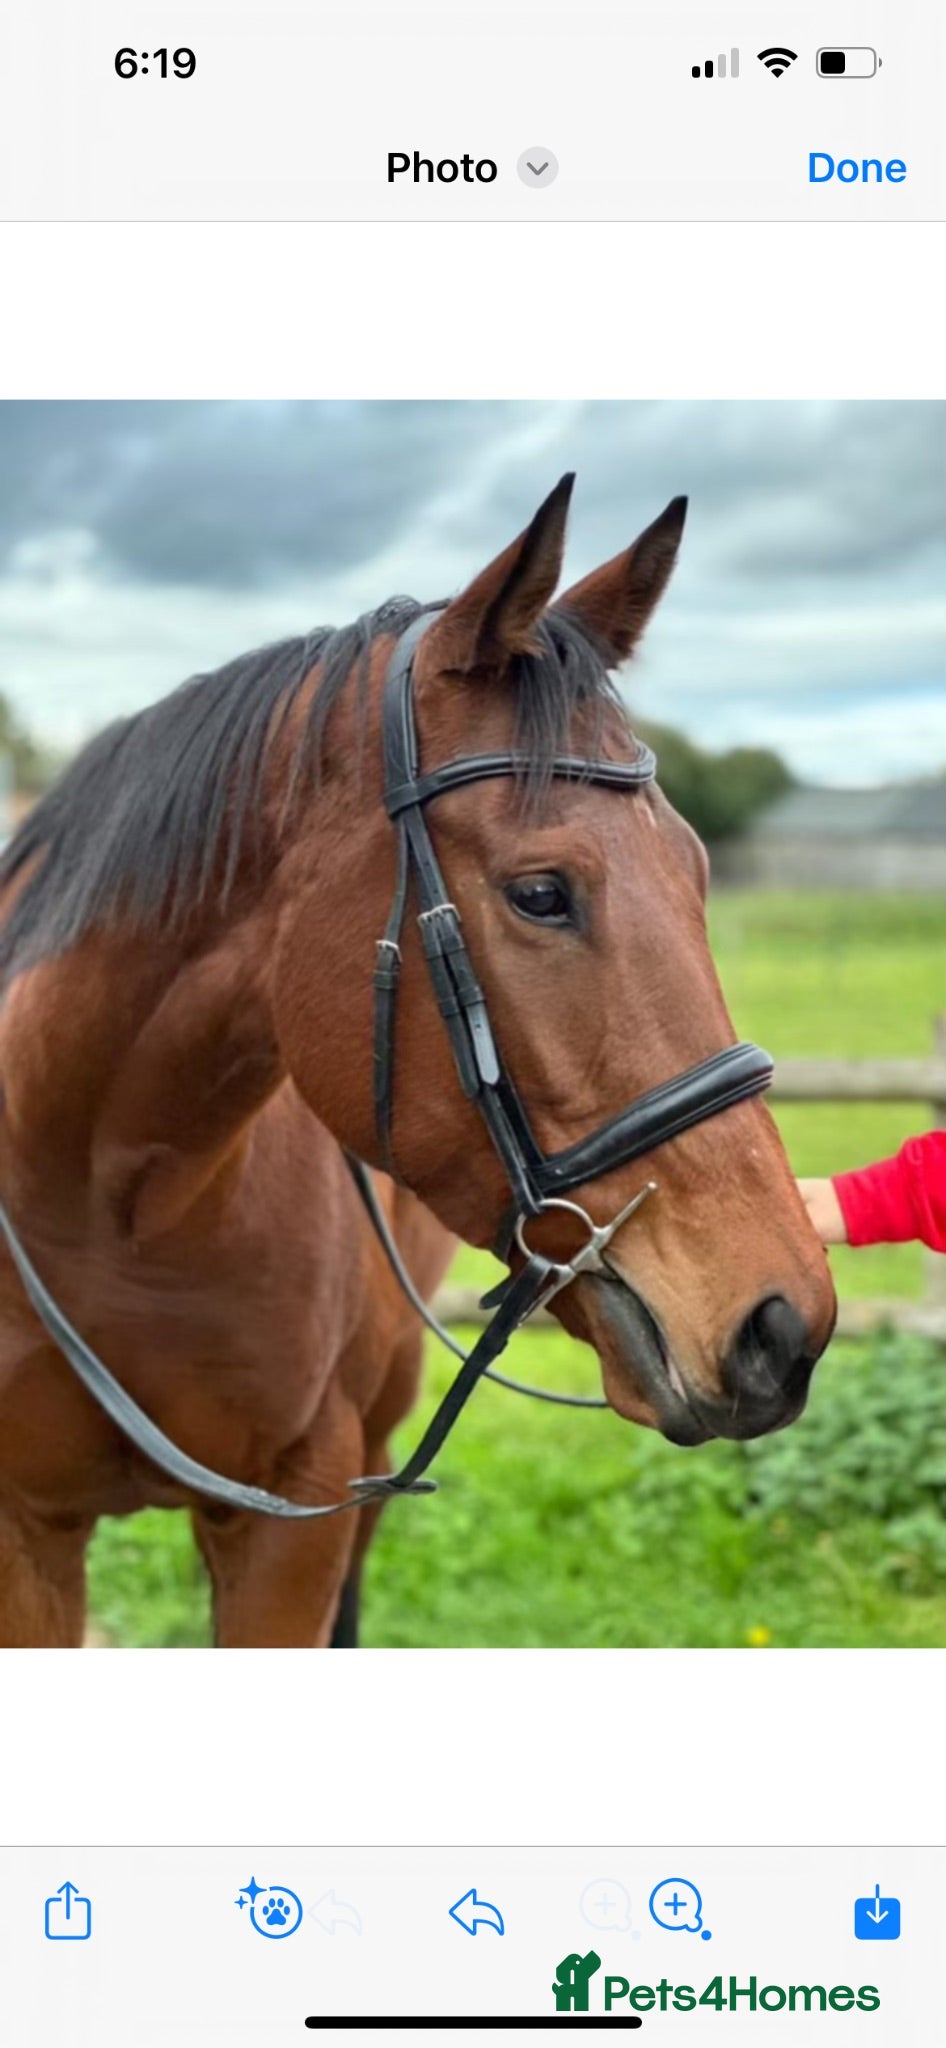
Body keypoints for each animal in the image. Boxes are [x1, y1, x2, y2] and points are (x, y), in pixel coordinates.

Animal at [0, 475, 836, 1648]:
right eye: (541, 893)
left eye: (697, 869)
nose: (783, 1323)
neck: (107, 1198)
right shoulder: (25, 1529)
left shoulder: (298, 1513)